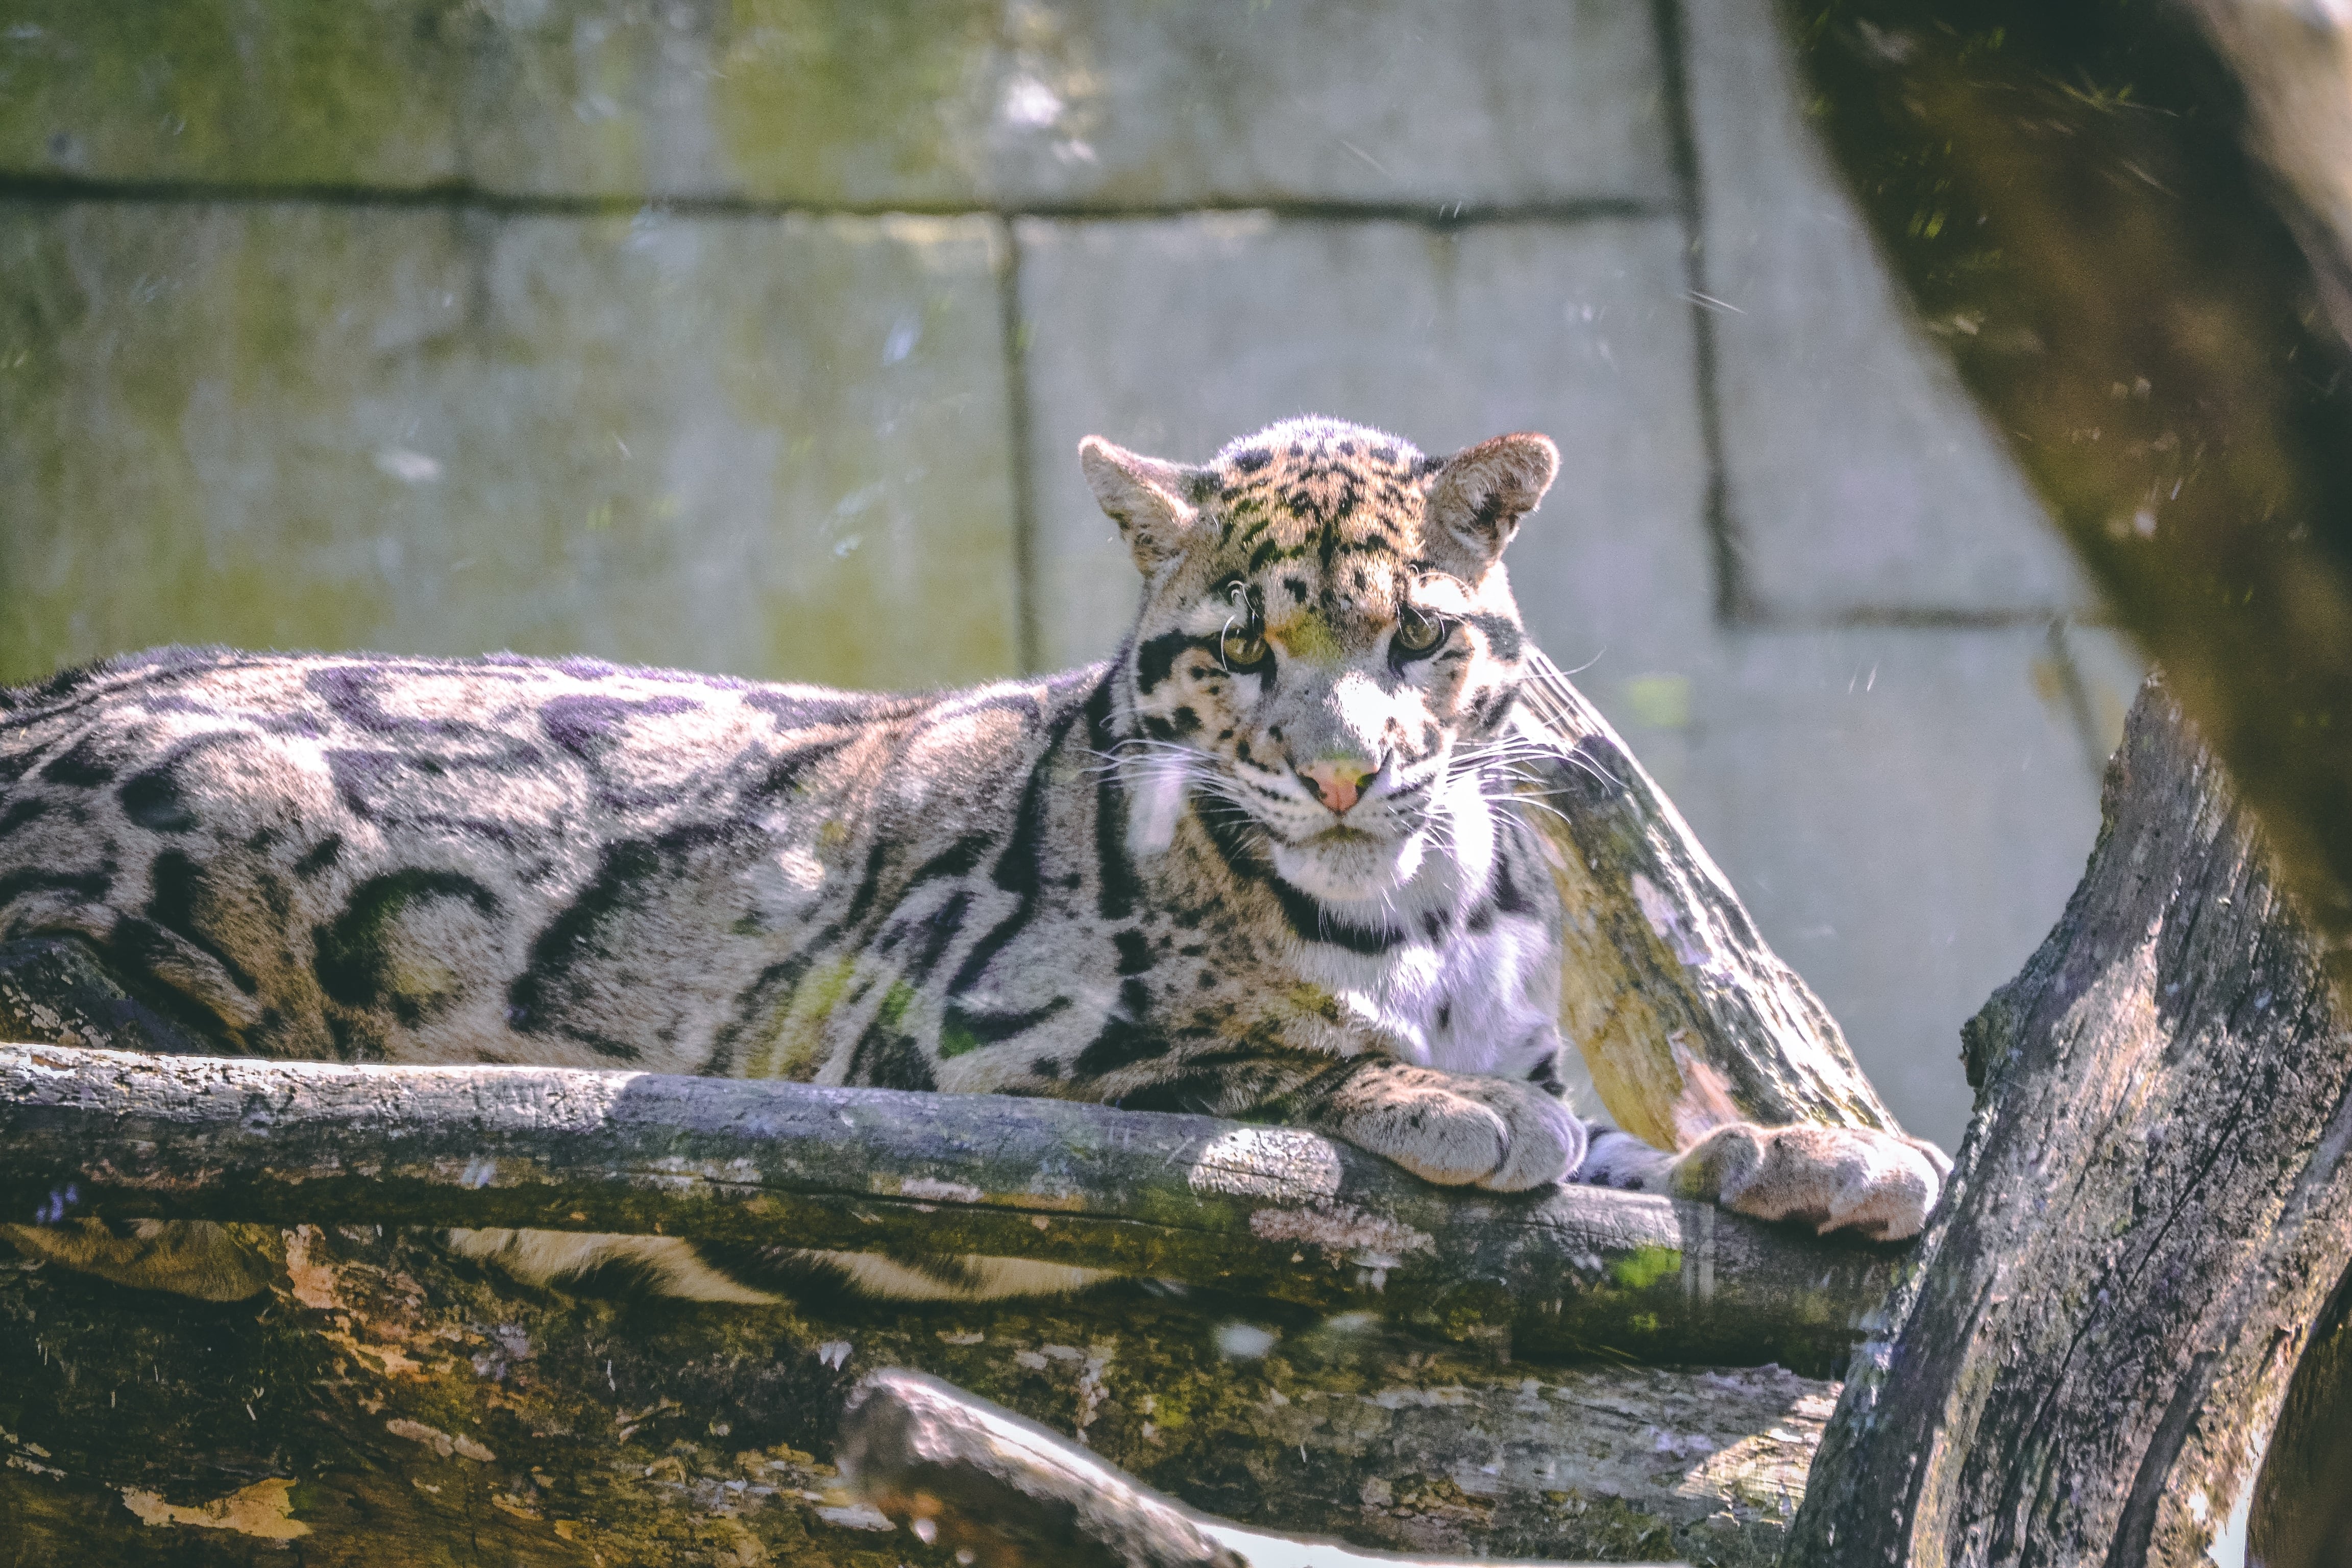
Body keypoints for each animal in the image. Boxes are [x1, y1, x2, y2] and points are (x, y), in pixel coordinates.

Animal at [0, 416, 1947, 1305]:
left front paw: (1811, 1153)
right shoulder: (924, 1037)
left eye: (1417, 639)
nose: (1339, 773)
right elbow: (1235, 1047)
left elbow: (1637, 1143)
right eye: (1245, 650)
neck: (1414, 906)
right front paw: (1434, 1099)